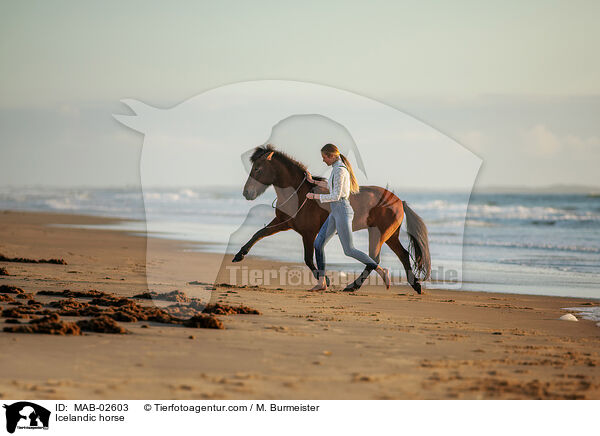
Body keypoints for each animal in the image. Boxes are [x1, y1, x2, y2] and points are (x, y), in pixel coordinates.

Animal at [234, 144, 432, 292]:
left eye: (257, 169)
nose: (246, 193)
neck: (299, 194)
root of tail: (398, 201)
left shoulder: (308, 233)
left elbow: (308, 258)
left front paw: (325, 281)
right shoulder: (283, 224)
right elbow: (259, 233)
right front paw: (239, 255)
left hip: (379, 234)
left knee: (374, 260)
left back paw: (353, 286)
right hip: (390, 236)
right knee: (401, 255)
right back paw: (415, 285)